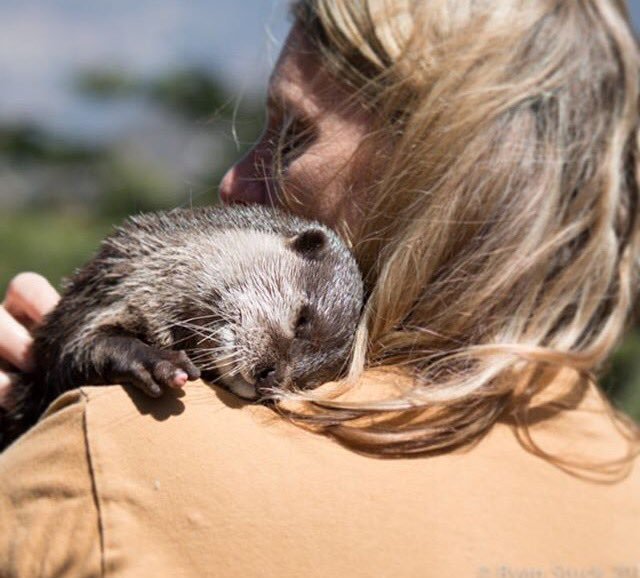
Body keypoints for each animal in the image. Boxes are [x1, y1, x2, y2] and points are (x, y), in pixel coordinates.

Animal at [0, 205, 362, 448]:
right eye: (302, 319)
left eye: (304, 383)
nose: (270, 377)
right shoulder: (94, 297)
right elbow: (70, 351)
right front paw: (155, 361)